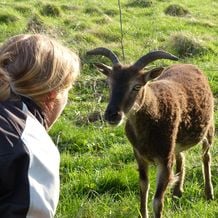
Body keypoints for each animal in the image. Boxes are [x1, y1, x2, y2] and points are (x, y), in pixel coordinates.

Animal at [86, 47, 214, 218]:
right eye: (109, 84)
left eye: (137, 86)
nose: (112, 115)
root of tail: (189, 65)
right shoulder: (139, 155)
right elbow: (143, 187)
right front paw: (143, 213)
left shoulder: (165, 159)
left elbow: (157, 201)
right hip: (177, 137)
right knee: (181, 156)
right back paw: (177, 192)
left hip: (209, 127)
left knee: (206, 156)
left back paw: (208, 193)